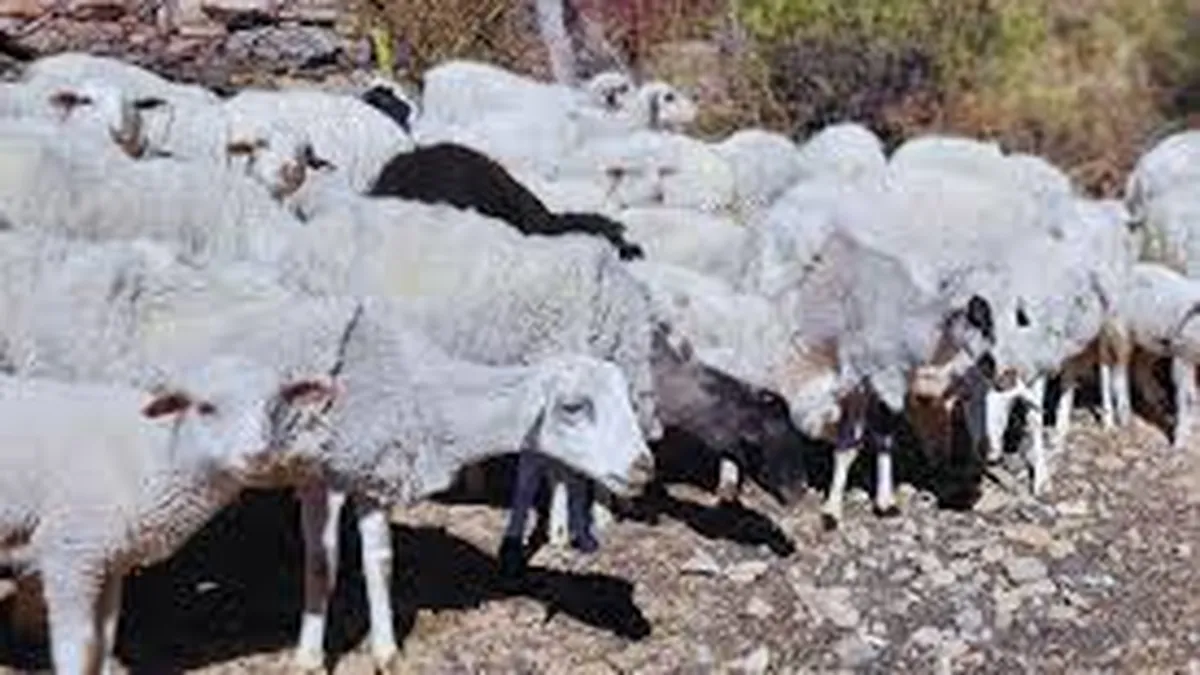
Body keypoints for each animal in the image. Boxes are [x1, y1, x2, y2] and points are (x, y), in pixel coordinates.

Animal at [0, 355, 333, 675]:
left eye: (275, 406)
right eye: (205, 407)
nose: (258, 455)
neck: (156, 455)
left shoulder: (110, 558)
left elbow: (105, 637)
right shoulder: (70, 552)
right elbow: (78, 646)